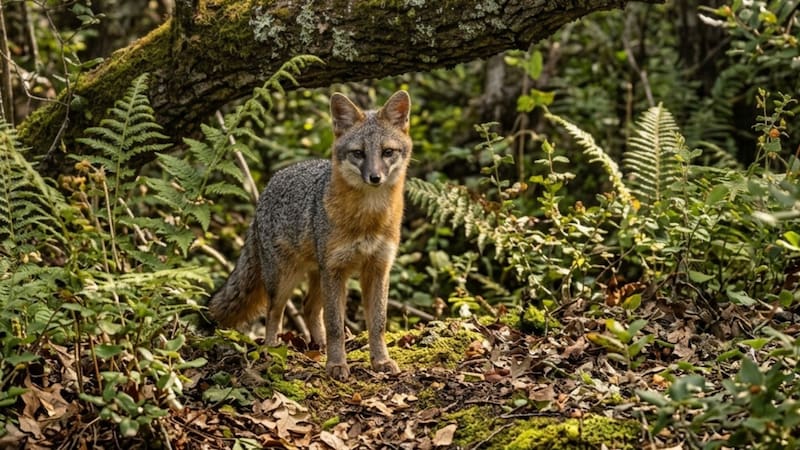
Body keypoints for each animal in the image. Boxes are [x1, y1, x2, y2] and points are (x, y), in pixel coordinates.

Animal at [208, 90, 412, 380]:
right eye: (358, 153)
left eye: (387, 152)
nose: (375, 177)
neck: (368, 219)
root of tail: (268, 186)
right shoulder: (336, 270)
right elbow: (335, 324)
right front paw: (336, 364)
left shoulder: (378, 269)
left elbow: (378, 323)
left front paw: (380, 361)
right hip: (285, 278)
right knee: (275, 312)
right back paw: (271, 349)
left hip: (319, 274)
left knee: (308, 307)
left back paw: (320, 345)